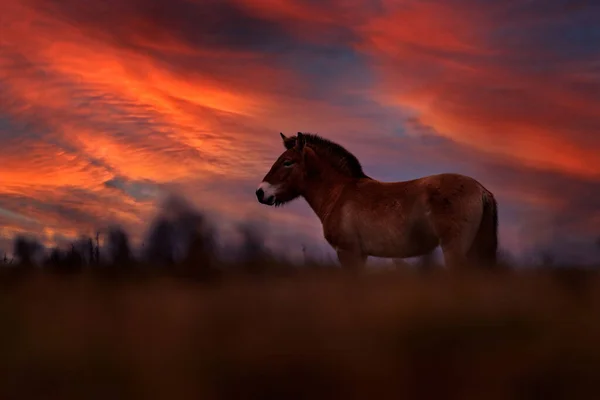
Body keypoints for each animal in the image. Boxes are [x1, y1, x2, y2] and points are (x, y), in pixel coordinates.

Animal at [255, 132, 500, 272]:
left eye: (287, 162)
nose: (260, 192)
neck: (339, 194)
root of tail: (482, 190)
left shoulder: (349, 253)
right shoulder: (360, 255)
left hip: (455, 249)